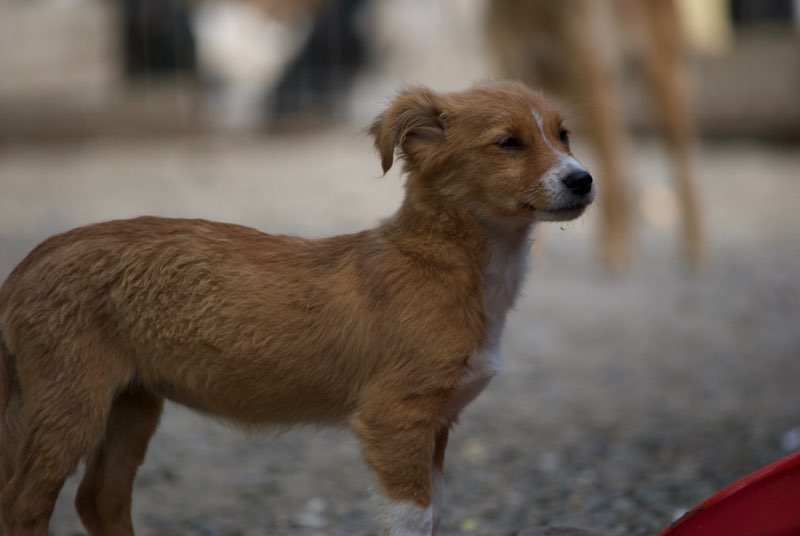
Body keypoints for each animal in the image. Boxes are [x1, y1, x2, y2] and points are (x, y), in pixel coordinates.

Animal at [0, 80, 592, 536]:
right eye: (508, 143)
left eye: (563, 134)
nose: (583, 178)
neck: (451, 267)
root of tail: (31, 262)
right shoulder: (395, 419)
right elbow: (413, 519)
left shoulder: (438, 425)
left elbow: (437, 514)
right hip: (70, 403)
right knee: (23, 506)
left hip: (130, 405)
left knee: (99, 499)